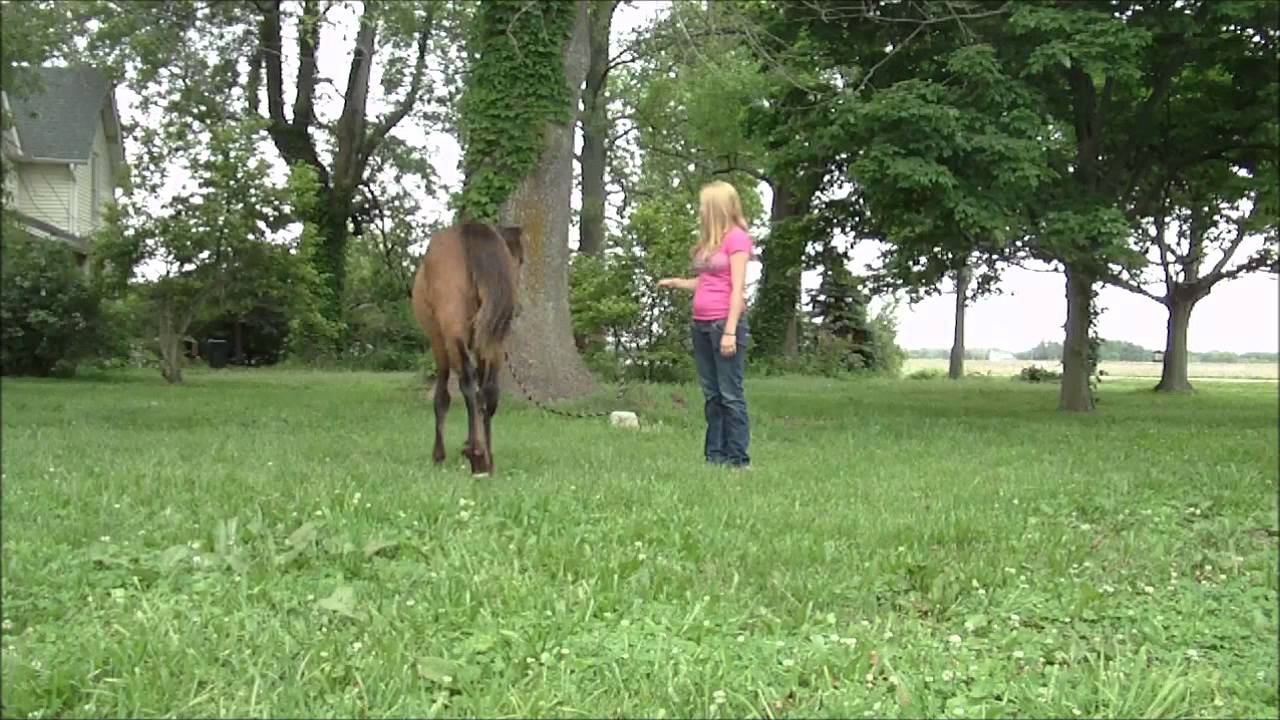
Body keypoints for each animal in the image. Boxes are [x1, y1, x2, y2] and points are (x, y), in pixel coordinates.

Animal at [411, 222, 524, 477]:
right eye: (519, 261)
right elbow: (484, 396)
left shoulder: (439, 343)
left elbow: (443, 397)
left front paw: (439, 455)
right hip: (494, 341)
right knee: (489, 391)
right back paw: (487, 459)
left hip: (452, 335)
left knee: (468, 384)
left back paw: (476, 455)